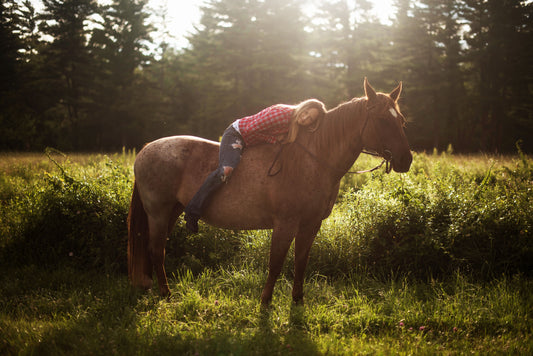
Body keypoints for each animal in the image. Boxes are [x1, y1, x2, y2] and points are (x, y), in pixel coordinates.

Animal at [128, 78, 412, 306]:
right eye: (382, 120)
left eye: (401, 120)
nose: (406, 160)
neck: (313, 160)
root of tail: (145, 149)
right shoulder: (285, 224)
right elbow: (275, 263)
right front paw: (265, 302)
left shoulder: (311, 224)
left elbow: (300, 262)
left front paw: (298, 300)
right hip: (158, 213)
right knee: (157, 251)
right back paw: (166, 294)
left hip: (171, 211)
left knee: (156, 250)